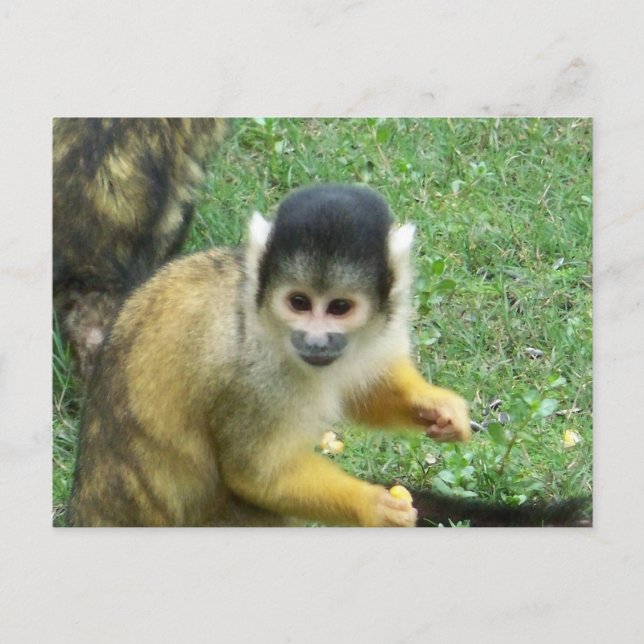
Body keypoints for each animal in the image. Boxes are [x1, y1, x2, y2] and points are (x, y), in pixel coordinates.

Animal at [66, 183, 473, 527]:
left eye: (339, 307)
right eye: (299, 302)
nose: (316, 341)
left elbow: (362, 390)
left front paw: (434, 404)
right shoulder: (254, 375)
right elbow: (258, 476)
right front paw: (372, 506)